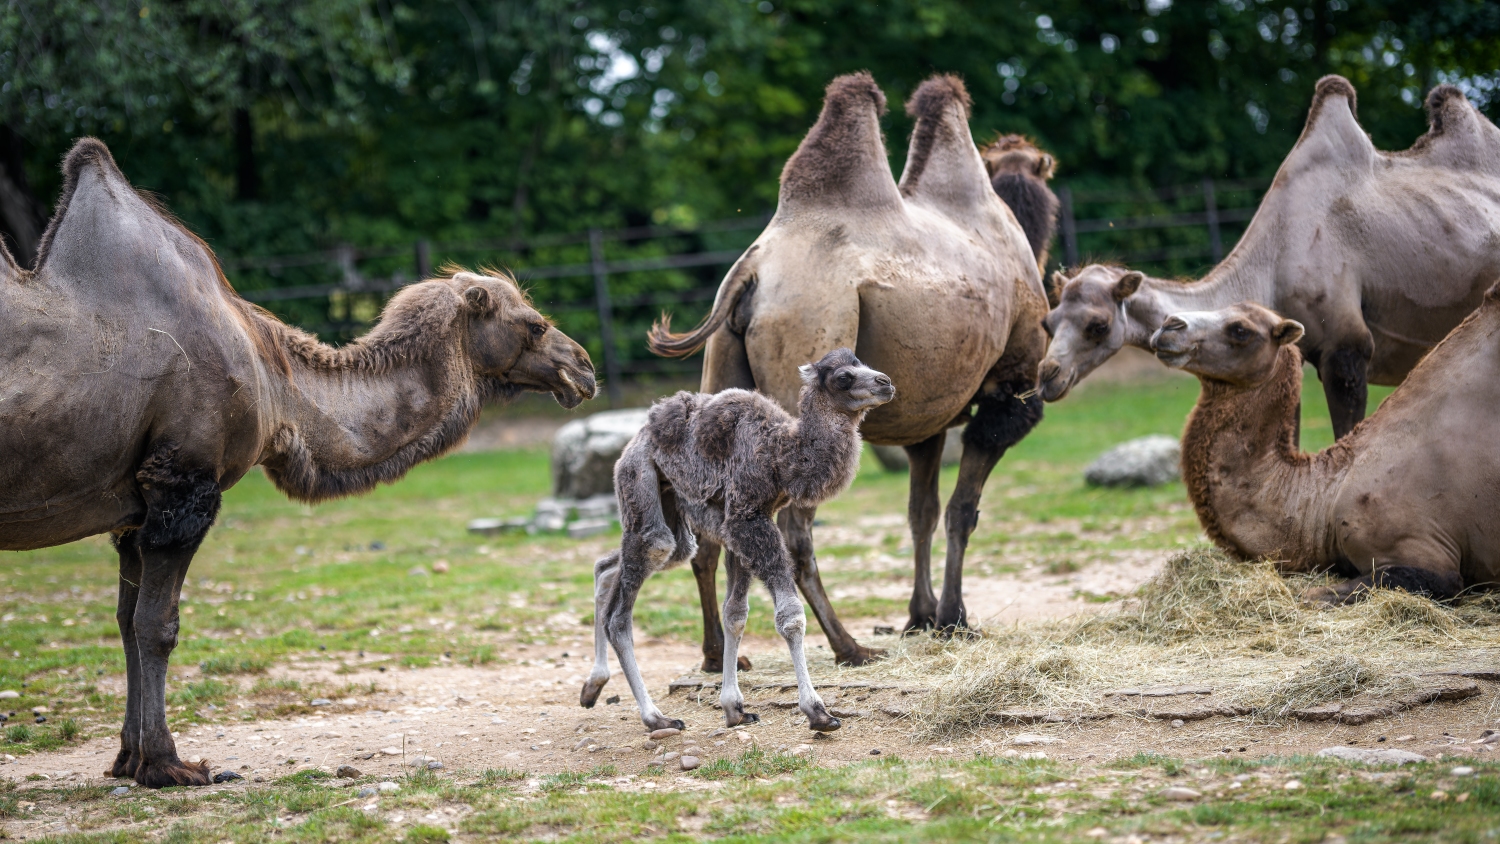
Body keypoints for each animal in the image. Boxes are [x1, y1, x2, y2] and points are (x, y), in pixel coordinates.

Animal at [0, 135, 597, 791]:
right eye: (534, 324)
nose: (584, 367)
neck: (274, 380)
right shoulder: (182, 483)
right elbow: (157, 626)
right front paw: (168, 765)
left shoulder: (133, 510)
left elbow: (126, 622)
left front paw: (129, 761)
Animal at [579, 350, 888, 734]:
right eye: (844, 377)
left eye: (861, 362)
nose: (885, 383)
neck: (780, 454)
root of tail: (632, 443)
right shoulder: (747, 519)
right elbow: (790, 616)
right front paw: (817, 711)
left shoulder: (739, 526)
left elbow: (735, 614)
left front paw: (735, 708)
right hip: (640, 482)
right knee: (623, 611)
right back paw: (655, 717)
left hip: (671, 514)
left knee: (610, 565)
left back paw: (593, 686)